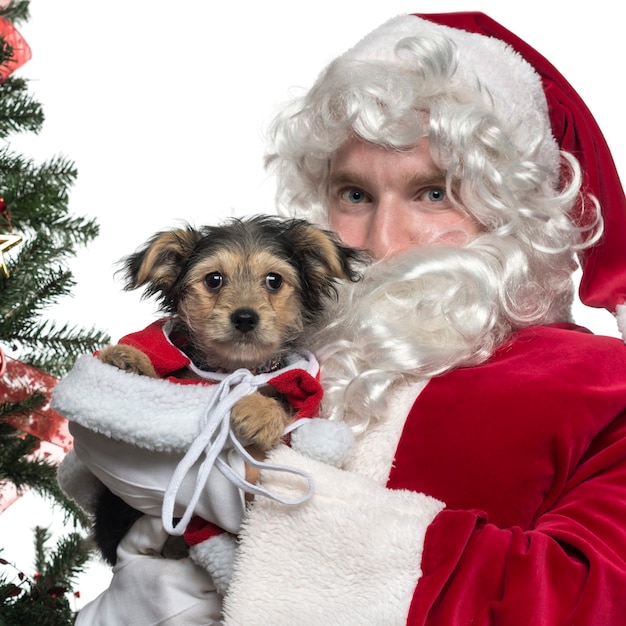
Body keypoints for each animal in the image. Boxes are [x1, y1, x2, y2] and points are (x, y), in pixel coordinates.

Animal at [95, 214, 364, 560]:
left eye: (274, 280)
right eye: (214, 280)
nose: (245, 318)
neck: (233, 369)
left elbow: (288, 404)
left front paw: (259, 412)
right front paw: (128, 358)